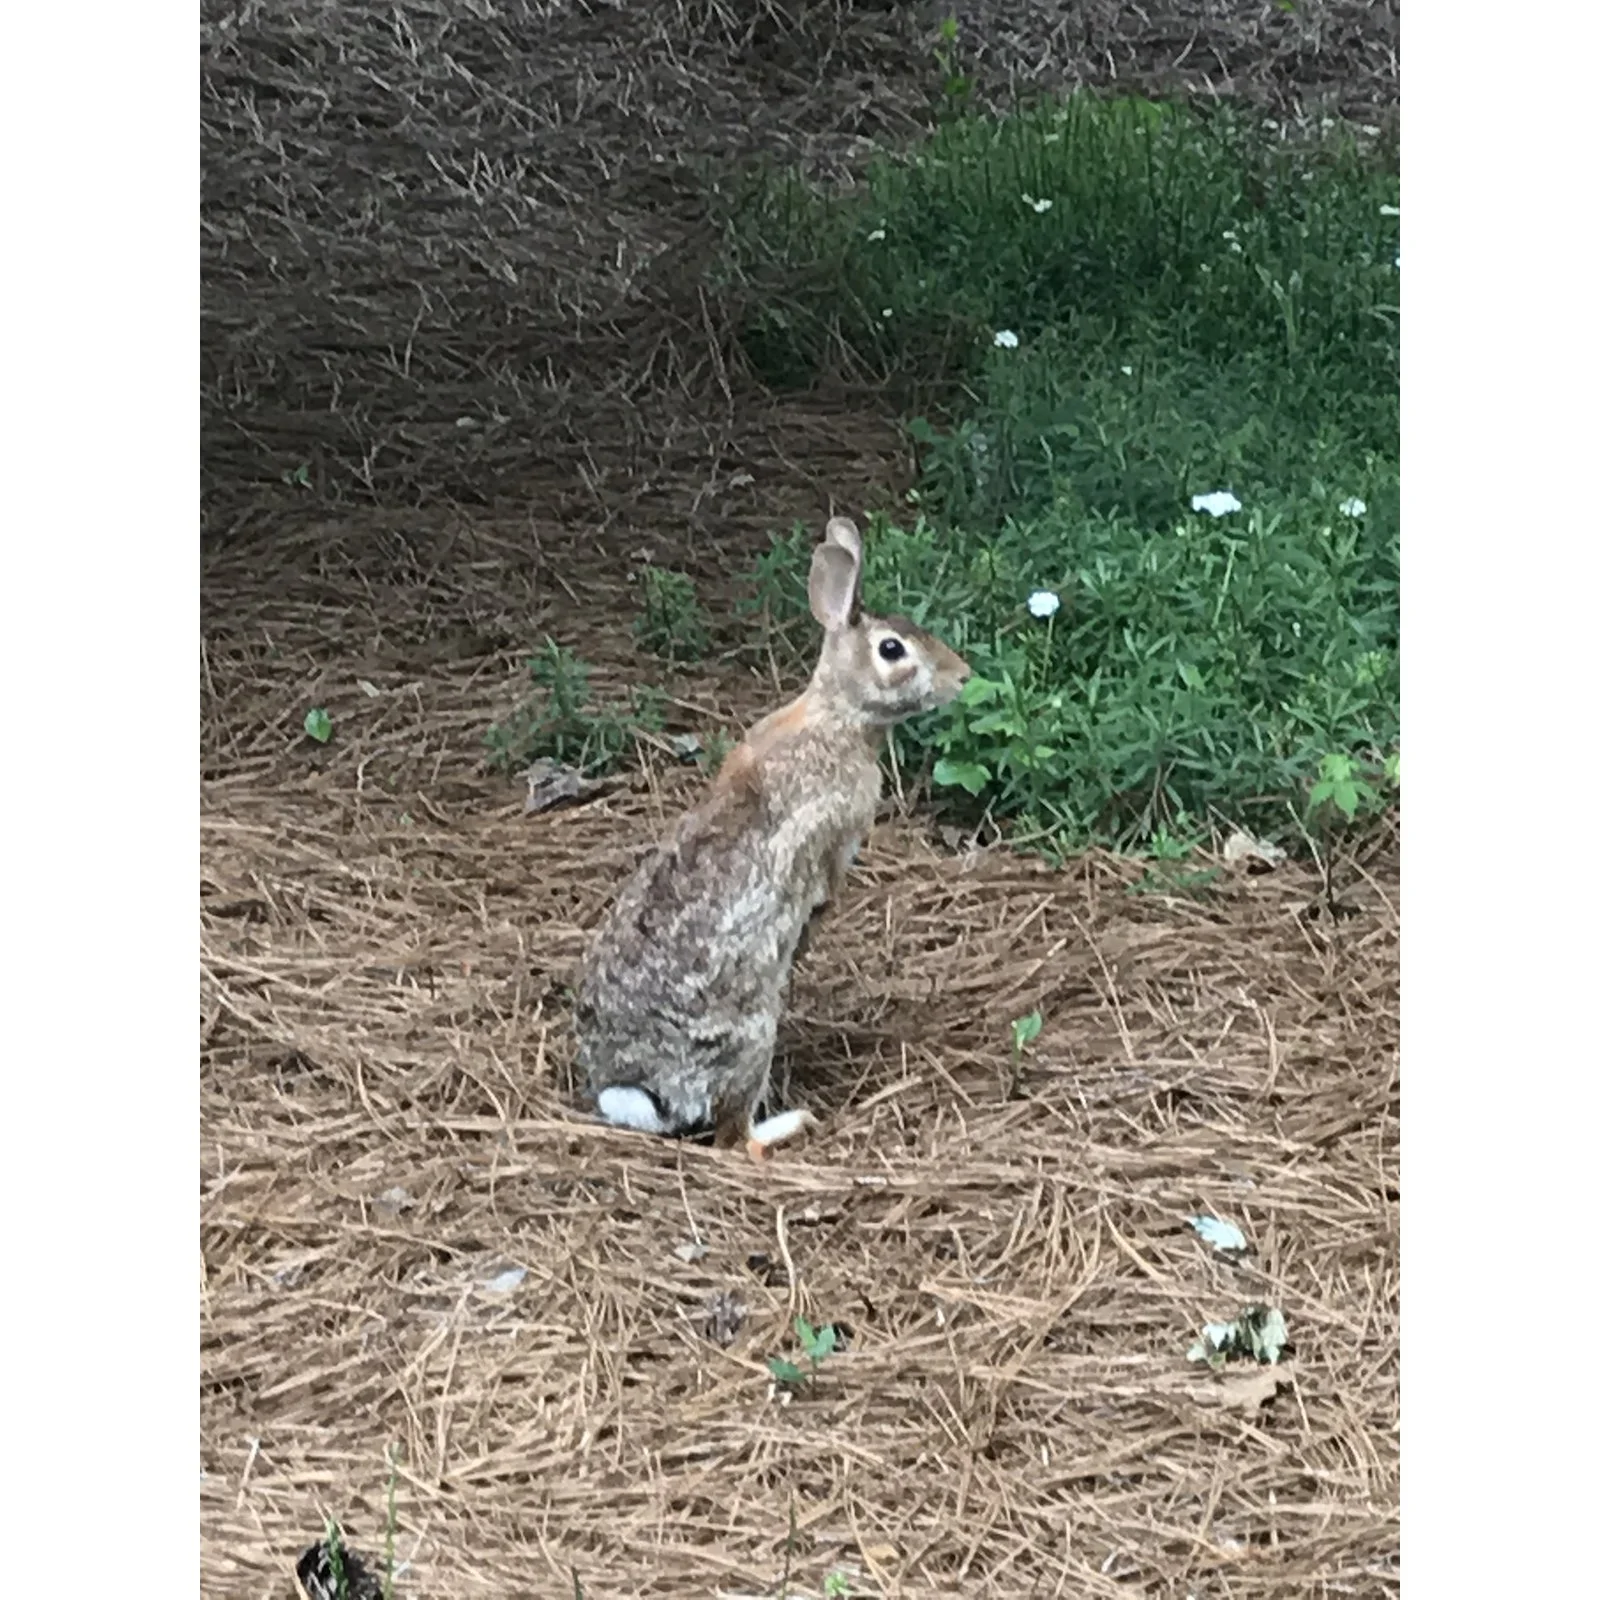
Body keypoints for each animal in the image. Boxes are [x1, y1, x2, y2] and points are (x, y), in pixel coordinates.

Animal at [572, 513, 971, 1159]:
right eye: (892, 649)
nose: (963, 677)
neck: (839, 717)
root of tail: (638, 1090)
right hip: (753, 1032)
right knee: (735, 1137)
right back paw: (787, 1124)